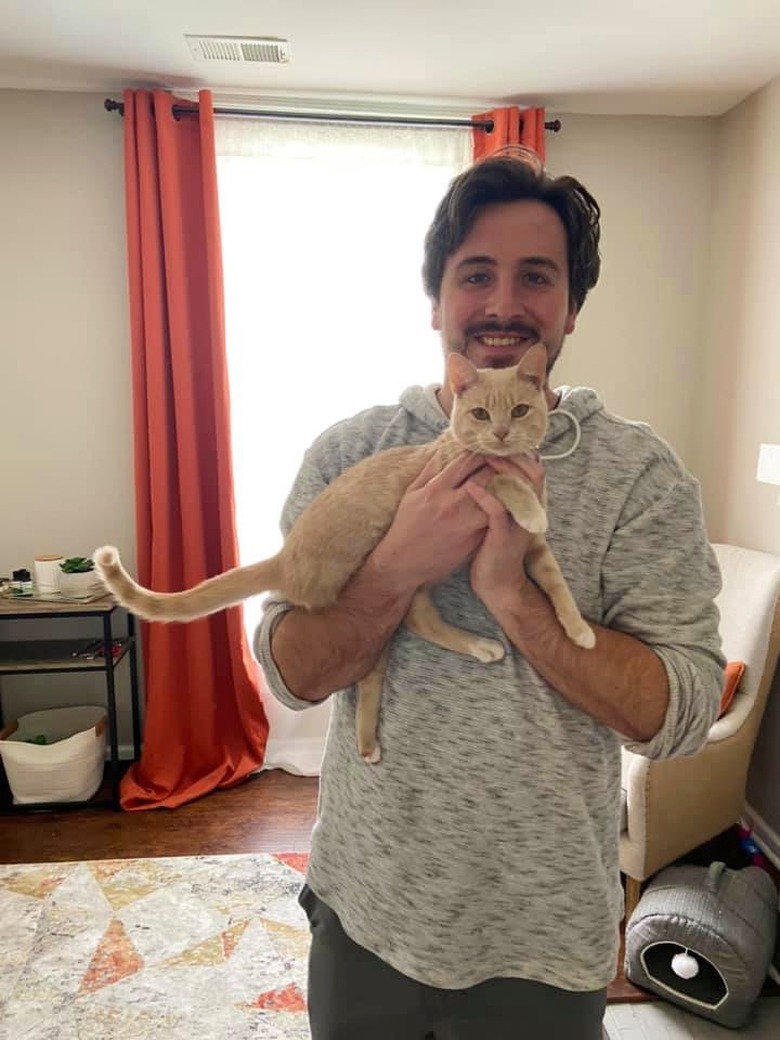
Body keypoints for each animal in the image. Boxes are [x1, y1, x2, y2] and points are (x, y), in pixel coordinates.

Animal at [96, 345, 590, 761]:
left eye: (520, 410)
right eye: (481, 414)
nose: (502, 433)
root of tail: (285, 558)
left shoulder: (532, 552)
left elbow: (557, 584)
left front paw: (580, 630)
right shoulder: (464, 477)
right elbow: (503, 481)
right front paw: (530, 507)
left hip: (398, 607)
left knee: (396, 649)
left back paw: (376, 735)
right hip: (382, 582)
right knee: (411, 628)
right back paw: (476, 649)